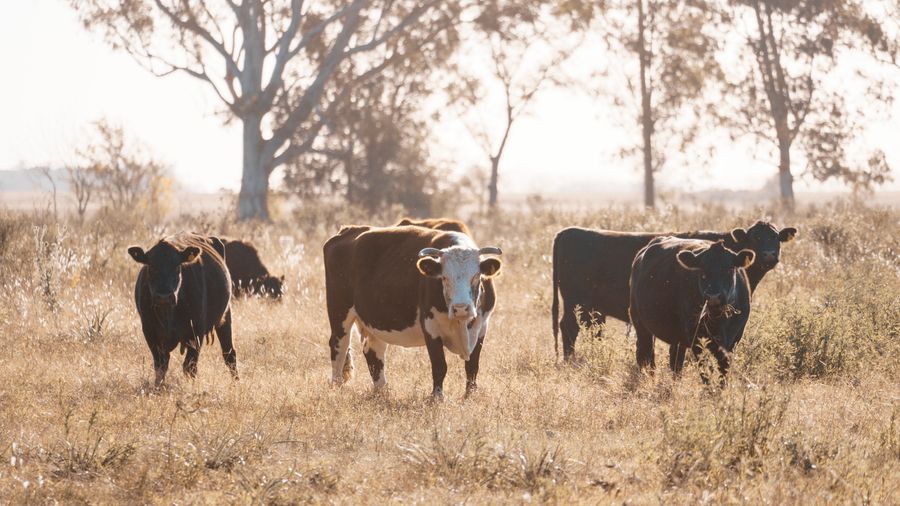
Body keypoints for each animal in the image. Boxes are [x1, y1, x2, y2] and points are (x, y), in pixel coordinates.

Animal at [128, 233, 237, 387]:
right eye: (152, 267)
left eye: (176, 268)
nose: (164, 296)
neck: (168, 315)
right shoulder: (149, 331)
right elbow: (160, 365)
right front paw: (158, 386)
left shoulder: (196, 331)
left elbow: (190, 366)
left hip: (225, 317)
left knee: (229, 354)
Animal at [323, 225, 502, 399]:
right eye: (444, 278)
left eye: (476, 276)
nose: (461, 308)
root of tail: (348, 229)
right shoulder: (430, 327)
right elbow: (439, 365)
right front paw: (437, 397)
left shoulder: (481, 327)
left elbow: (472, 366)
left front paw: (470, 395)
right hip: (339, 312)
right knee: (339, 347)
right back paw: (336, 387)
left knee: (373, 352)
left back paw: (382, 392)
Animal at [551, 221, 796, 360]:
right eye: (756, 237)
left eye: (776, 238)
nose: (770, 255)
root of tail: (567, 231)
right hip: (575, 302)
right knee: (569, 328)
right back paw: (569, 361)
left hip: (591, 308)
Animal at [629, 238, 756, 379]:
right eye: (702, 272)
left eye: (729, 270)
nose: (713, 297)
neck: (719, 321)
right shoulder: (696, 338)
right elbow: (705, 369)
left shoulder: (734, 339)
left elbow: (724, 369)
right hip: (640, 323)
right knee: (645, 354)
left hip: (677, 335)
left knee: (675, 361)